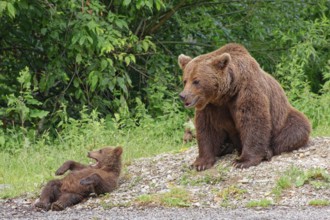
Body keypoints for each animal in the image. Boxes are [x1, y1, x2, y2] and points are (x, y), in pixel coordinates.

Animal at [178, 43, 310, 170]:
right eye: (185, 80)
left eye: (196, 81)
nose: (183, 96)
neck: (226, 93)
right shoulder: (210, 106)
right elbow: (207, 128)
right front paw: (200, 163)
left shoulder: (247, 90)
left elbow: (253, 121)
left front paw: (242, 161)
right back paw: (224, 147)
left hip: (283, 118)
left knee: (296, 128)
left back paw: (267, 152)